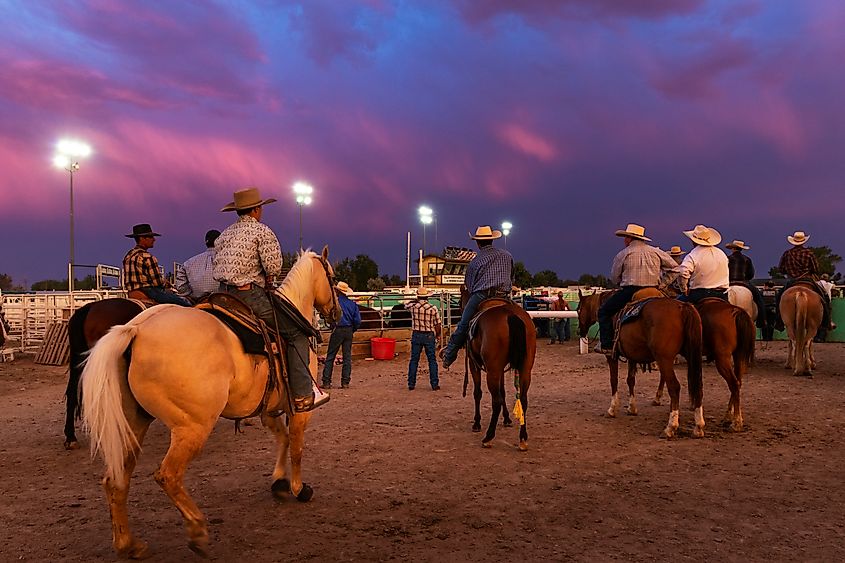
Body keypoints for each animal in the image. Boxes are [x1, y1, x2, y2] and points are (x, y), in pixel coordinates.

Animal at [81, 249, 340, 556]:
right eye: (332, 277)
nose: (337, 314)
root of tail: (135, 330)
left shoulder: (269, 410)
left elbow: (283, 438)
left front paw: (279, 482)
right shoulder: (300, 407)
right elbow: (297, 445)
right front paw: (299, 488)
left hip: (133, 423)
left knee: (116, 480)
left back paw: (128, 544)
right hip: (192, 428)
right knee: (168, 475)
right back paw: (197, 531)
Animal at [458, 288, 536, 452]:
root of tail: (511, 315)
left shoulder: (474, 364)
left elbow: (478, 393)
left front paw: (476, 423)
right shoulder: (501, 368)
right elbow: (504, 391)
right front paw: (507, 419)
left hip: (492, 371)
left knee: (496, 400)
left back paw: (488, 437)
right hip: (525, 368)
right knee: (523, 399)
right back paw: (522, 439)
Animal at [604, 298, 704, 438]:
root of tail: (682, 307)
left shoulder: (611, 355)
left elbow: (614, 380)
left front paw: (612, 409)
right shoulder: (632, 356)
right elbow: (630, 380)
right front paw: (631, 408)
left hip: (664, 359)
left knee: (674, 387)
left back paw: (670, 427)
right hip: (692, 355)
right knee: (697, 386)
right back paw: (698, 427)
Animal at [696, 300, 756, 432]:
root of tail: (736, 311)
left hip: (722, 359)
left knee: (734, 384)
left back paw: (736, 422)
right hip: (739, 356)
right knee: (737, 383)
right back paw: (729, 417)